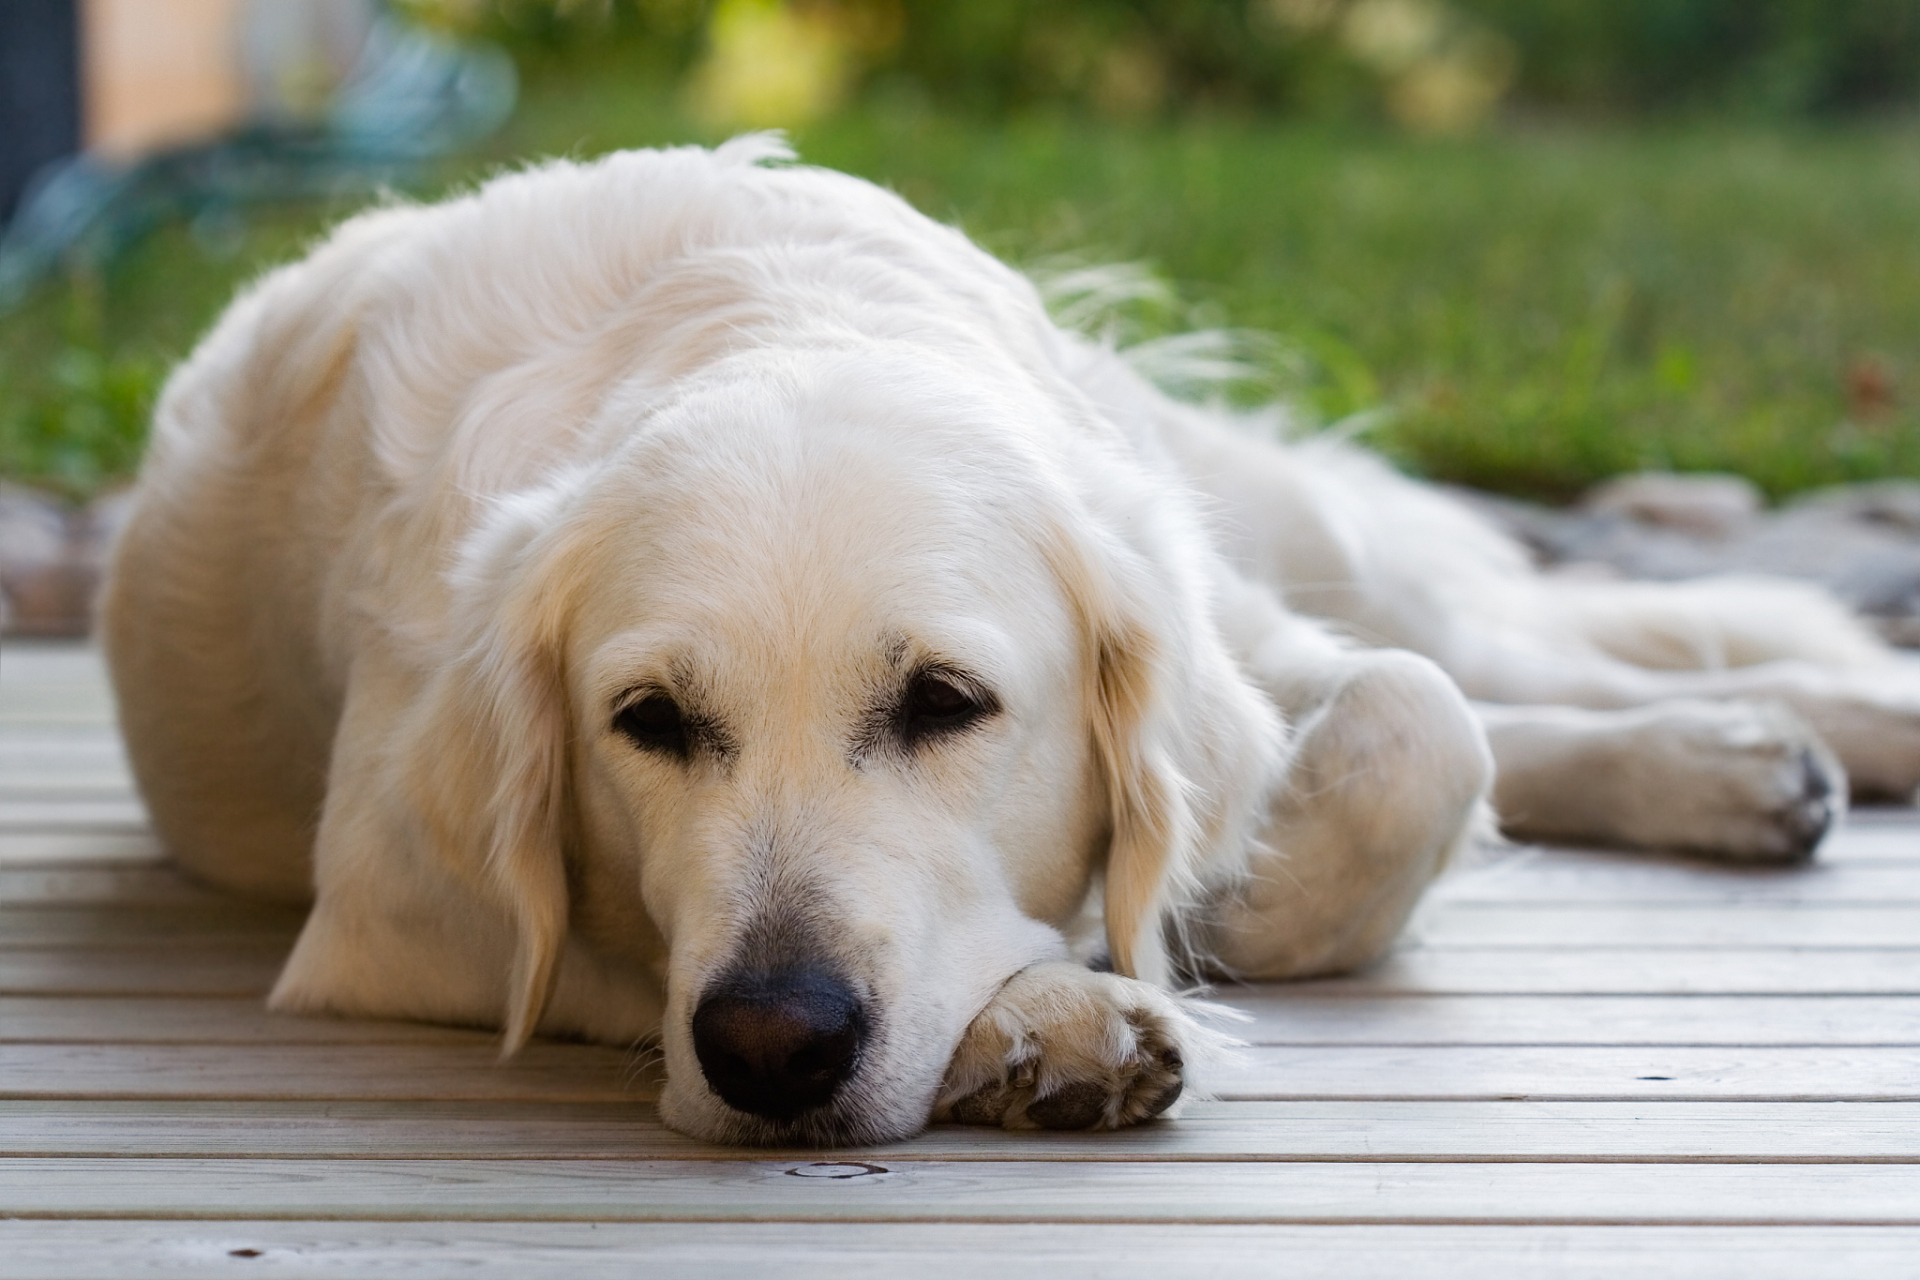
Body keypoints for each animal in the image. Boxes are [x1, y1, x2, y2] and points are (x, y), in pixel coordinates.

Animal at [101, 135, 1920, 1143]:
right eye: (648, 724)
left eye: (945, 702)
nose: (771, 1046)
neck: (762, 309)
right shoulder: (387, 923)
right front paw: (1053, 1013)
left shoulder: (1205, 615)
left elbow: (1415, 729)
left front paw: (1208, 917)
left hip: (1278, 533)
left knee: (1499, 654)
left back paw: (1802, 728)